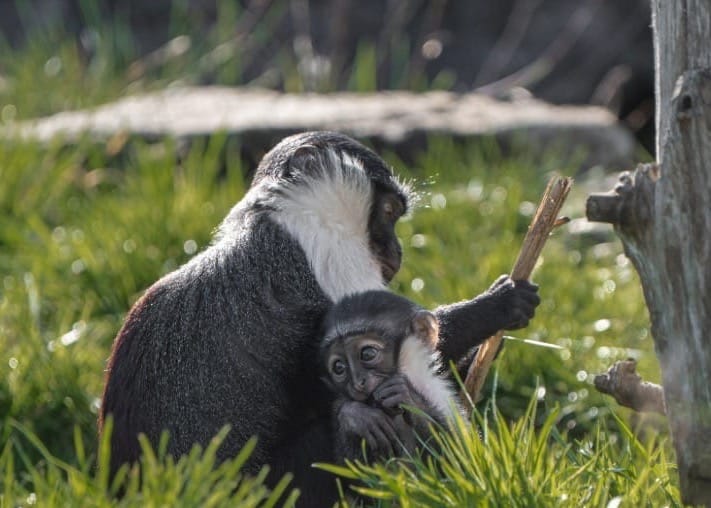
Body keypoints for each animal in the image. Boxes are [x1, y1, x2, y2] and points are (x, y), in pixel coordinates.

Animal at [320, 290, 464, 462]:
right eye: (339, 367)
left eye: (368, 354)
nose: (358, 383)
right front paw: (355, 416)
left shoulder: (438, 392)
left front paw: (409, 398)